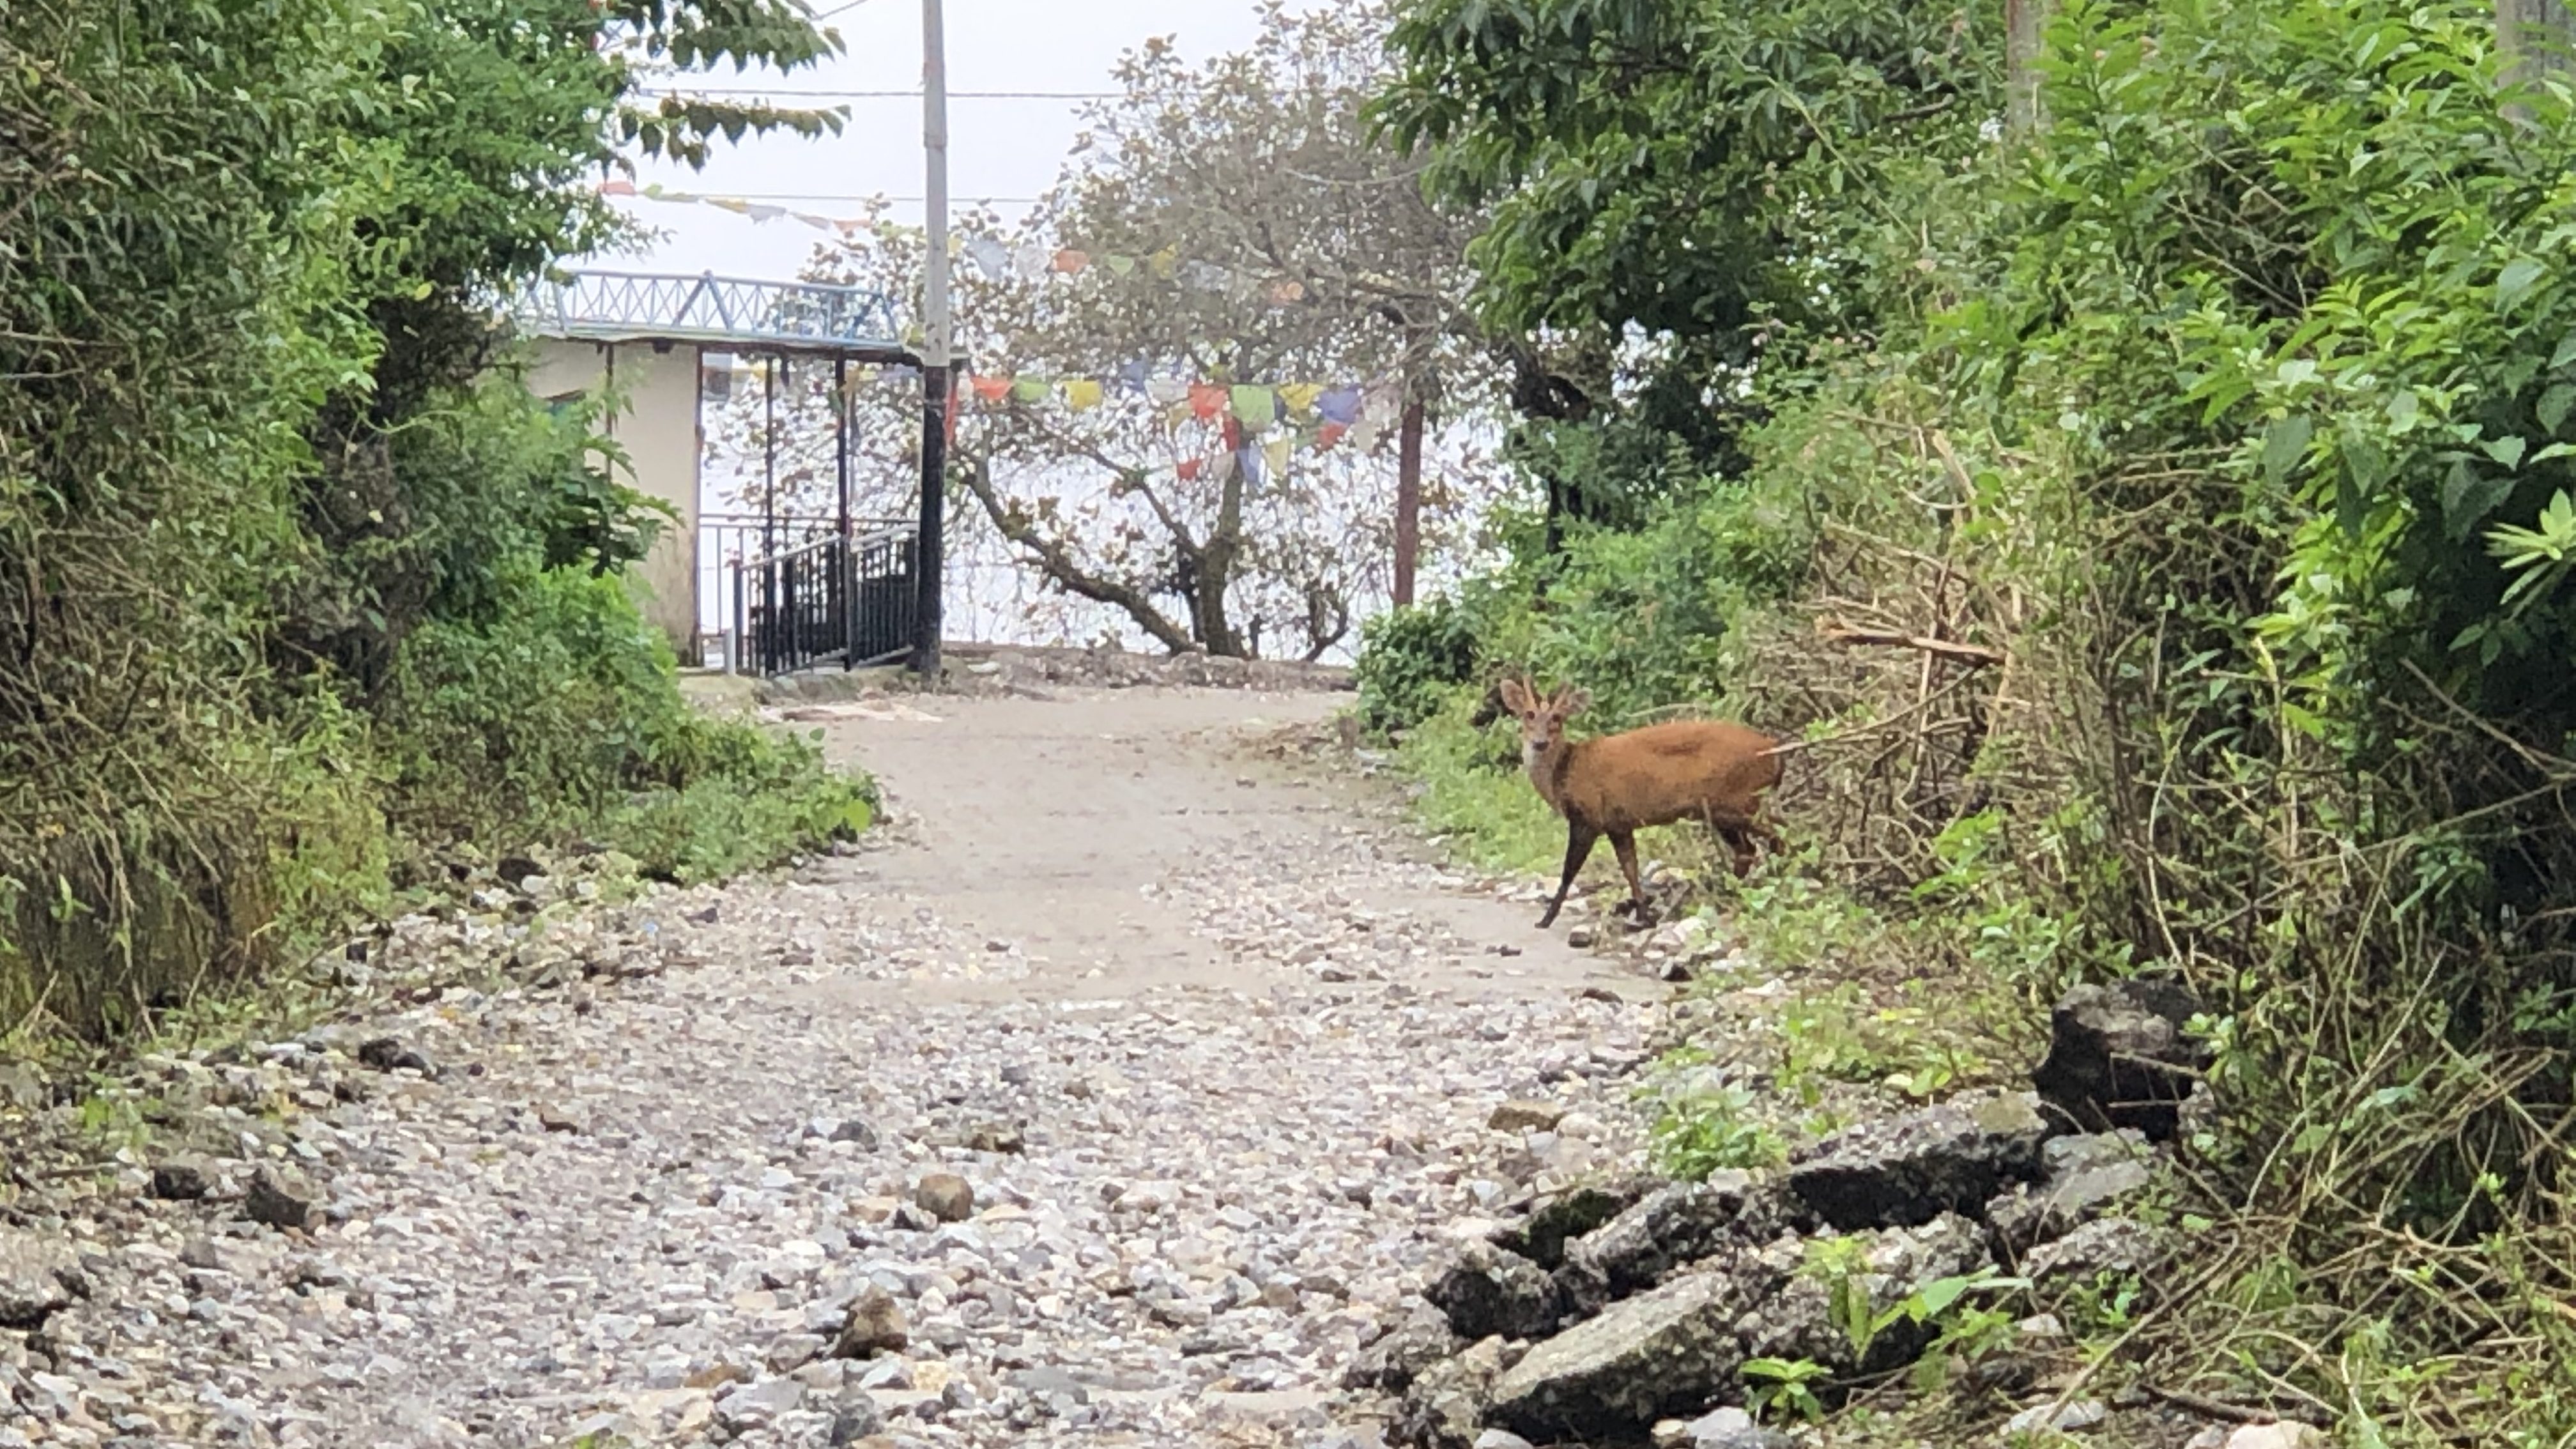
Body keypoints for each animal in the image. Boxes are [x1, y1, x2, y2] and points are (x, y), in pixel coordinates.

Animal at [1494, 677, 1786, 930]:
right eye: (1529, 715)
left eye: (1557, 718)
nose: (1540, 743)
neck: (1564, 773)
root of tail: (1775, 752)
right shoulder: (1619, 824)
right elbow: (1630, 869)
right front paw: (1644, 916)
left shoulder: (1588, 816)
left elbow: (1569, 871)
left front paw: (1546, 919)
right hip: (1725, 808)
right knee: (1749, 849)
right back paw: (1729, 894)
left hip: (1736, 799)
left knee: (1776, 835)